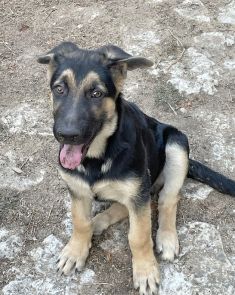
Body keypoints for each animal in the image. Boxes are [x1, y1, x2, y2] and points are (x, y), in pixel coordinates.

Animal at [37, 42, 234, 295]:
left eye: (96, 93)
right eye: (59, 89)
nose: (66, 135)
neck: (99, 155)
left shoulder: (139, 190)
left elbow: (138, 236)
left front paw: (145, 271)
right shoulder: (78, 190)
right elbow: (80, 222)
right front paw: (75, 250)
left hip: (176, 144)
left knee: (167, 199)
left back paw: (166, 238)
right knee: (126, 204)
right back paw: (97, 222)